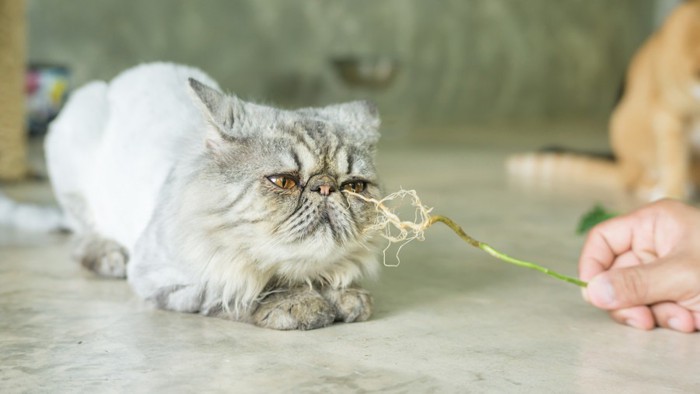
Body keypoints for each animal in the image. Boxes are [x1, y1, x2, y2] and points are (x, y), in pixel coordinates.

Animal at [45, 63, 382, 330]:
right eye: (284, 181)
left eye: (354, 187)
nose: (325, 188)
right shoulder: (171, 279)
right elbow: (246, 290)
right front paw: (302, 304)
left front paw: (345, 296)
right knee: (81, 240)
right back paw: (109, 257)